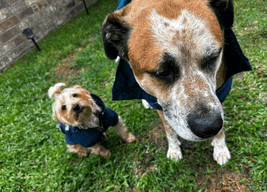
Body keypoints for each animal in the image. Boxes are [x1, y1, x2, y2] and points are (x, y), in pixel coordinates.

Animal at [101, 0, 252, 165]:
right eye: (162, 73)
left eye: (213, 57)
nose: (209, 127)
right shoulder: (161, 106)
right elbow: (169, 130)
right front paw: (174, 149)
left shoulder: (220, 92)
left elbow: (221, 125)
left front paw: (220, 149)